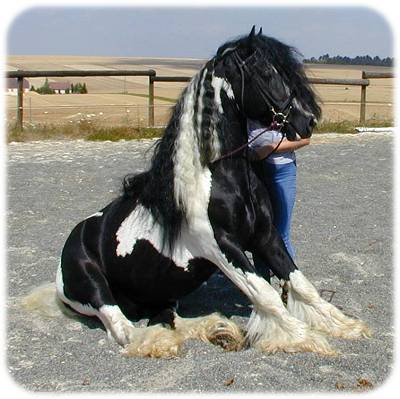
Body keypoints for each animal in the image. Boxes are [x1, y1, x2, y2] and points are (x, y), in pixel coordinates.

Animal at [54, 28, 370, 360]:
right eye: (267, 73)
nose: (307, 120)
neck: (218, 178)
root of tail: (73, 239)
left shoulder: (266, 237)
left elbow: (301, 284)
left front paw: (345, 326)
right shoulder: (221, 247)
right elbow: (266, 294)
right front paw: (303, 338)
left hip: (161, 293)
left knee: (168, 318)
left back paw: (219, 331)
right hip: (94, 287)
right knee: (123, 328)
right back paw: (164, 342)